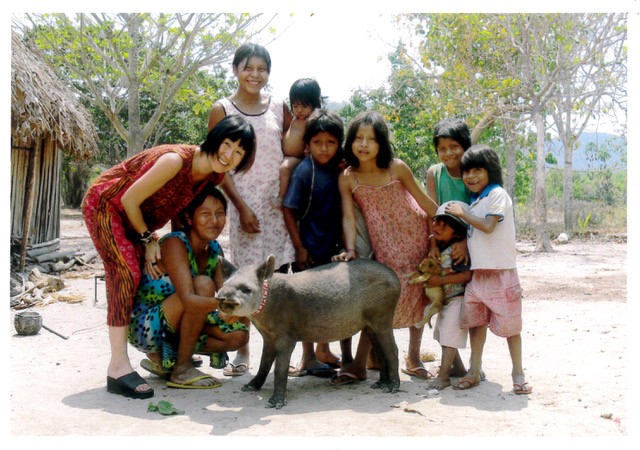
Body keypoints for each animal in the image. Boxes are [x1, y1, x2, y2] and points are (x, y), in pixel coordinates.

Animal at [218, 255, 402, 410]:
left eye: (246, 289)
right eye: (223, 285)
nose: (222, 298)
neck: (267, 301)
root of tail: (396, 279)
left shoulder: (287, 334)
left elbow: (280, 367)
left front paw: (276, 402)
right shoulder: (268, 336)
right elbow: (264, 362)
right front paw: (250, 386)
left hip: (383, 314)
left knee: (392, 349)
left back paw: (392, 386)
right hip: (369, 324)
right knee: (380, 350)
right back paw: (381, 384)